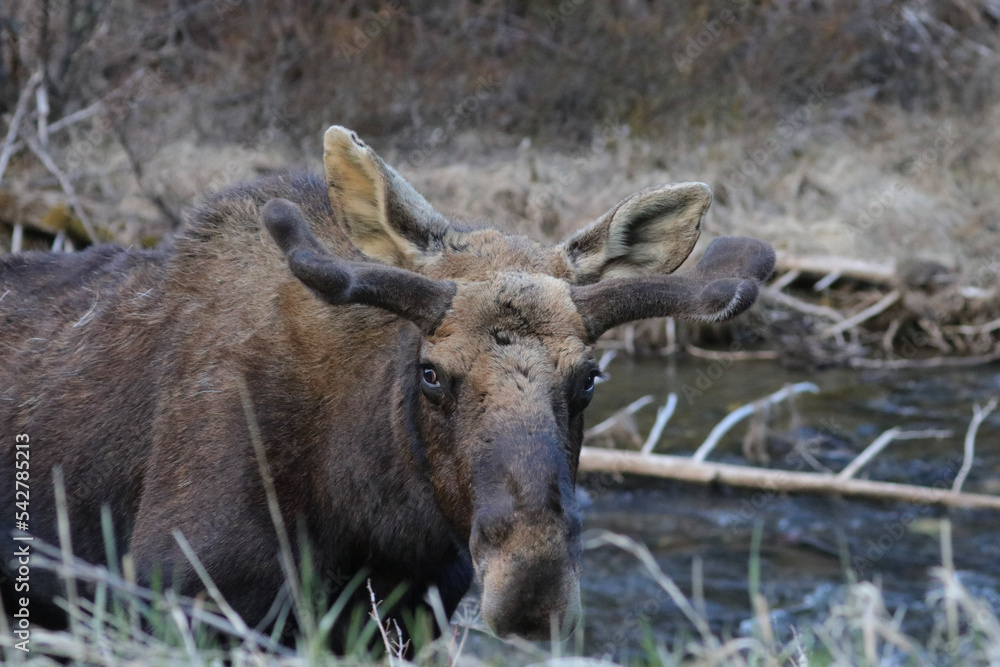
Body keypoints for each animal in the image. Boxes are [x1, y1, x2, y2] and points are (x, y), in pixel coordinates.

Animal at [0, 125, 776, 648]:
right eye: (431, 373)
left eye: (588, 378)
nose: (533, 585)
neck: (372, 514)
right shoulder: (177, 594)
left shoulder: (406, 616)